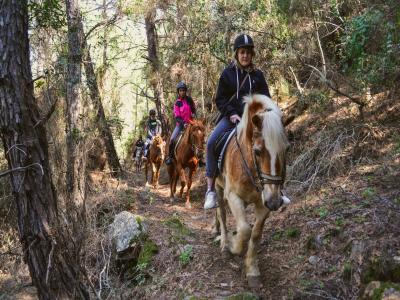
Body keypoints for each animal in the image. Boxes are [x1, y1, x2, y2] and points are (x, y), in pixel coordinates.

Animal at [214, 94, 290, 288]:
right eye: (257, 151)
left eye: (287, 149)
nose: (275, 202)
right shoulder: (233, 196)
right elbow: (244, 229)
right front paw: (234, 245)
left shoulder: (263, 203)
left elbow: (255, 234)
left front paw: (252, 270)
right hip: (218, 188)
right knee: (222, 214)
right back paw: (224, 244)